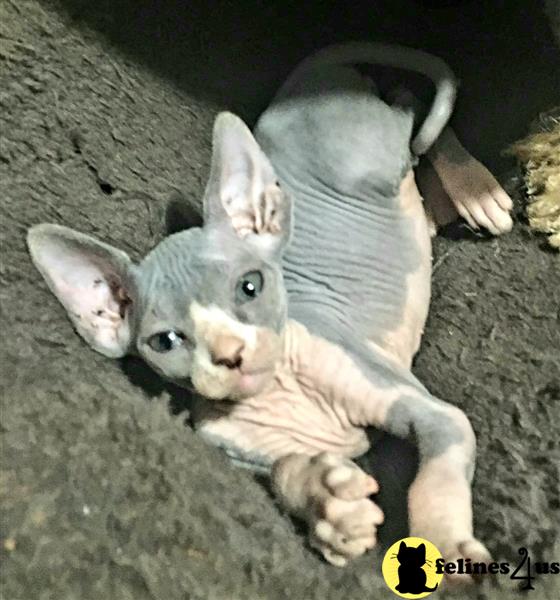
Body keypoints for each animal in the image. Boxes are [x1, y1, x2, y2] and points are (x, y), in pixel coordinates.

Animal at [28, 43, 516, 584]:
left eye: (250, 286)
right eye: (165, 341)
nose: (230, 355)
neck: (281, 396)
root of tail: (308, 80)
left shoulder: (416, 403)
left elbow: (439, 458)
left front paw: (444, 541)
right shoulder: (240, 455)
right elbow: (284, 473)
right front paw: (327, 503)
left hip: (376, 156)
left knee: (409, 110)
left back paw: (474, 189)